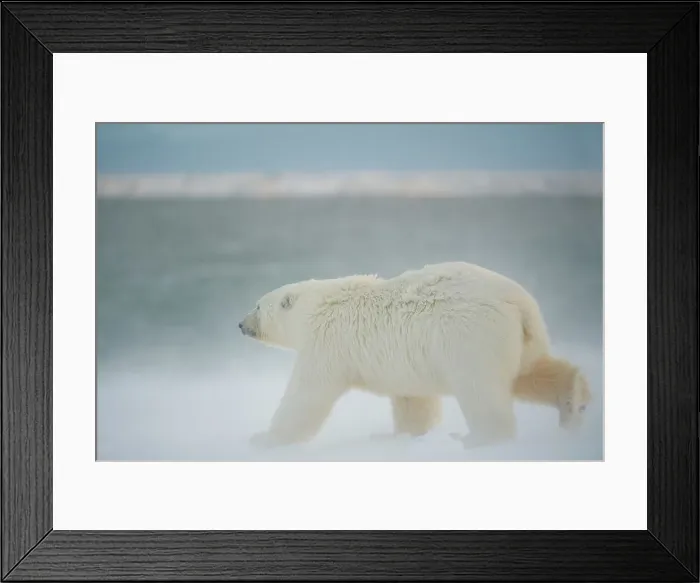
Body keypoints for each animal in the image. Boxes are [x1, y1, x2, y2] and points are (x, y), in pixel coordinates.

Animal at [238, 261, 592, 450]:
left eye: (257, 305)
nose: (241, 324)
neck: (316, 307)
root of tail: (518, 301)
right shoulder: (401, 364)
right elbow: (413, 400)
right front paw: (402, 436)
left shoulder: (328, 342)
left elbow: (307, 395)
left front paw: (263, 438)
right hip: (521, 337)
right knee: (529, 372)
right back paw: (574, 400)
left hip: (470, 336)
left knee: (482, 391)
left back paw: (477, 438)